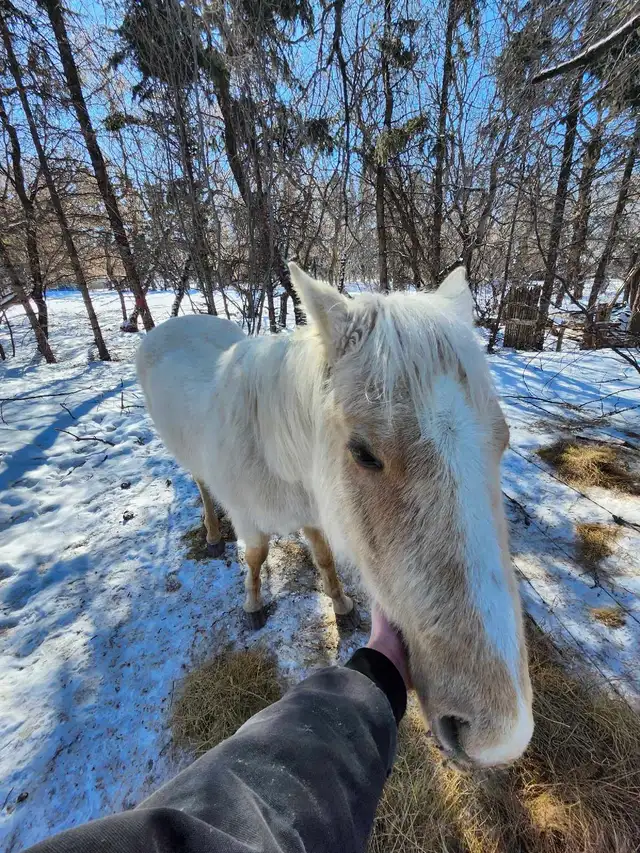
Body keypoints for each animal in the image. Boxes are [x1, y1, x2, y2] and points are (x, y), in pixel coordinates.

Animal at [136, 263, 533, 768]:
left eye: (503, 439)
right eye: (362, 453)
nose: (501, 736)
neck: (275, 451)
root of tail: (173, 324)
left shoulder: (314, 511)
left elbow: (323, 554)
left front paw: (340, 603)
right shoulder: (249, 518)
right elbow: (255, 557)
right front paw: (253, 604)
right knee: (204, 488)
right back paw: (210, 531)